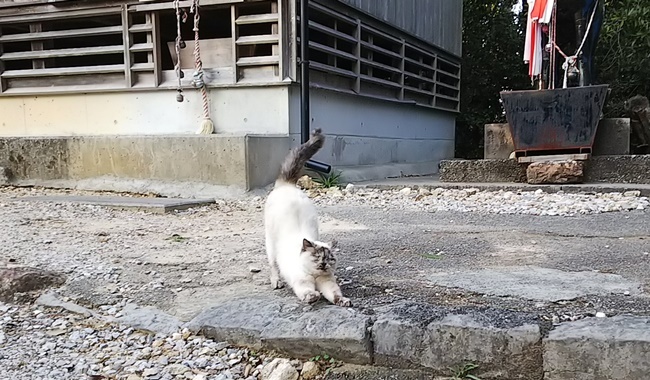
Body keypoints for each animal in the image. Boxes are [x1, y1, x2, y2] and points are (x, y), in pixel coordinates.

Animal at [262, 129, 352, 308]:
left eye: (329, 259)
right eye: (317, 257)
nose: (323, 264)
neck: (316, 277)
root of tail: (287, 185)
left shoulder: (328, 283)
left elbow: (335, 294)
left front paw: (343, 301)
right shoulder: (303, 283)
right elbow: (308, 292)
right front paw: (313, 297)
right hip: (271, 245)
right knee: (273, 265)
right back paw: (277, 282)